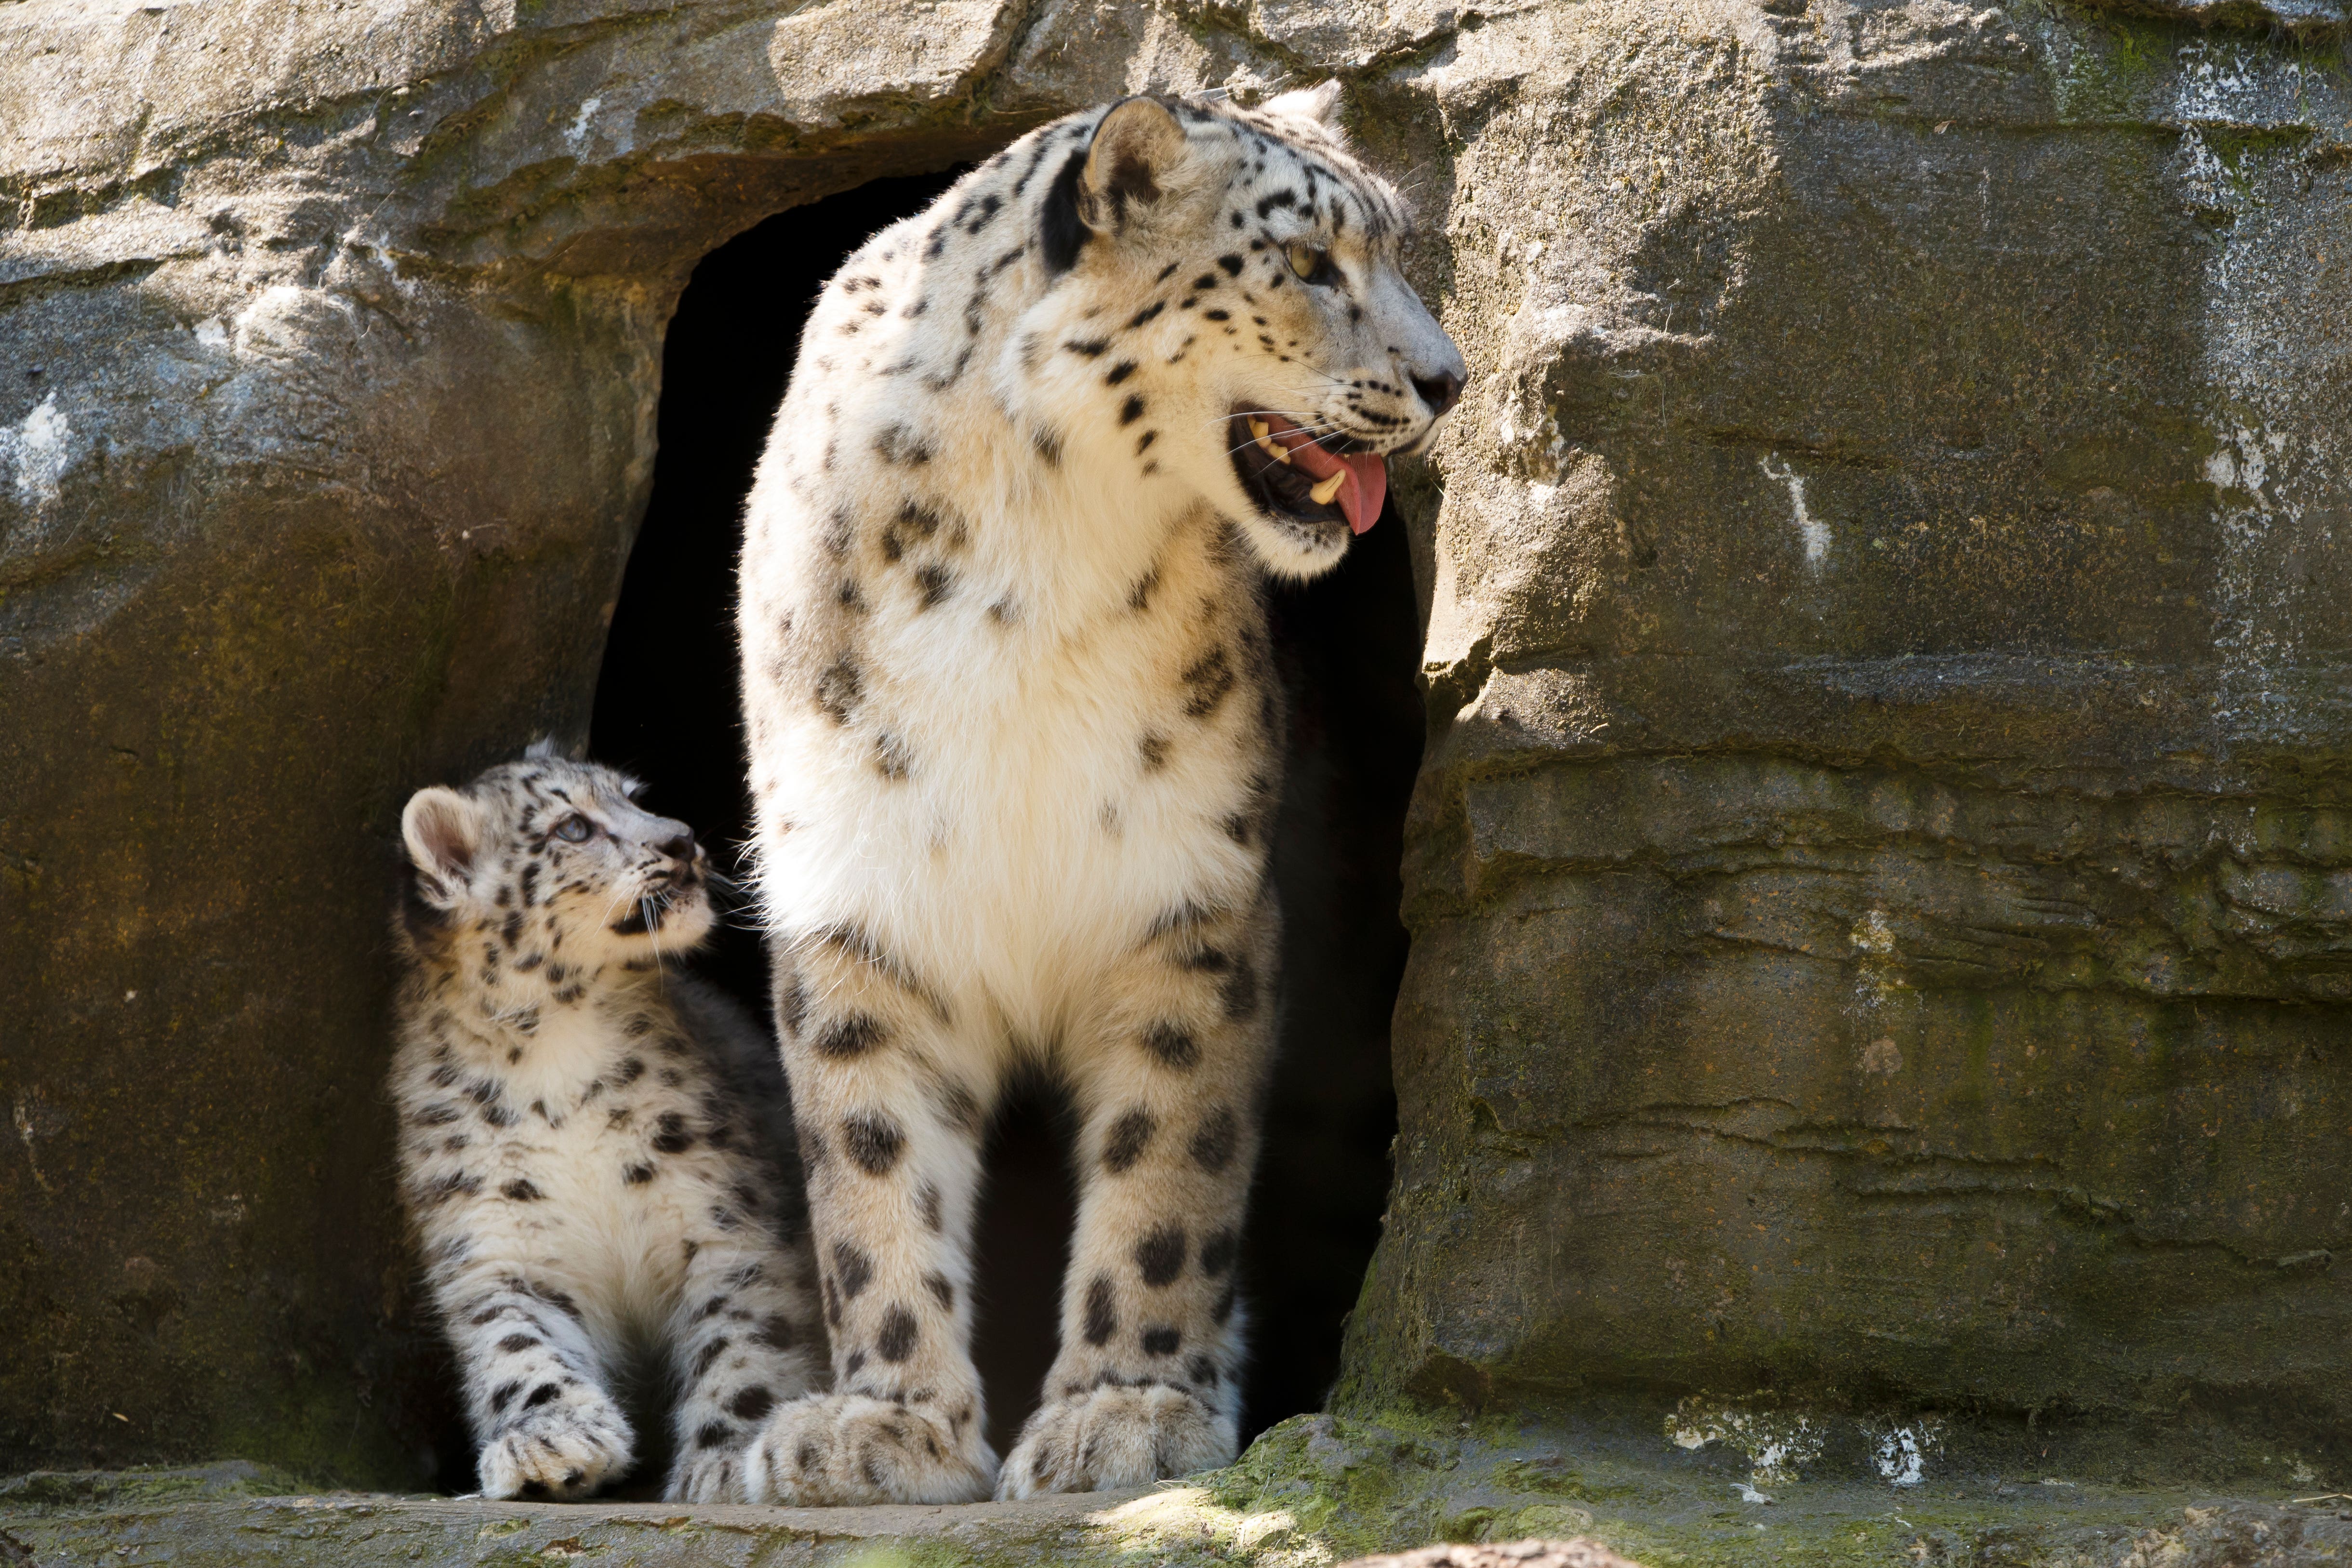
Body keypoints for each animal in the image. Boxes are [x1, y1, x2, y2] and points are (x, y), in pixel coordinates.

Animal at [738, 86, 1467, 1504]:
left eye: (1399, 252)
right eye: (1310, 263)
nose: (1447, 377)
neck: (1034, 566)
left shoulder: (1184, 894)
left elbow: (1167, 1167)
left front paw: (1125, 1407)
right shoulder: (857, 897)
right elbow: (870, 1168)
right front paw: (887, 1423)